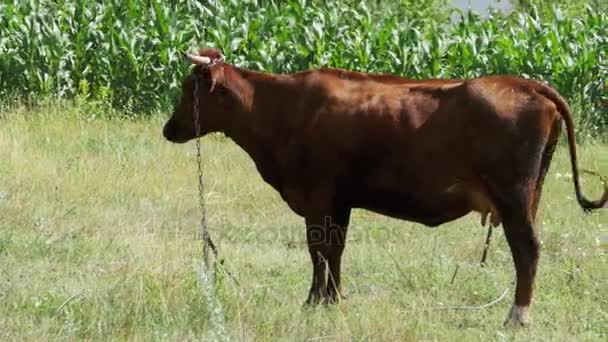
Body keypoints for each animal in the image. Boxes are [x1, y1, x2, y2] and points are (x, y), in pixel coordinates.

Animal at [163, 48, 608, 326]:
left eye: (188, 89)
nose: (168, 130)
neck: (281, 109)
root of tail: (524, 83)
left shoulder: (317, 197)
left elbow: (318, 249)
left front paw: (314, 302)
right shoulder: (338, 201)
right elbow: (334, 250)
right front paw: (331, 300)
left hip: (513, 196)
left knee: (527, 250)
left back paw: (517, 316)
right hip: (530, 196)